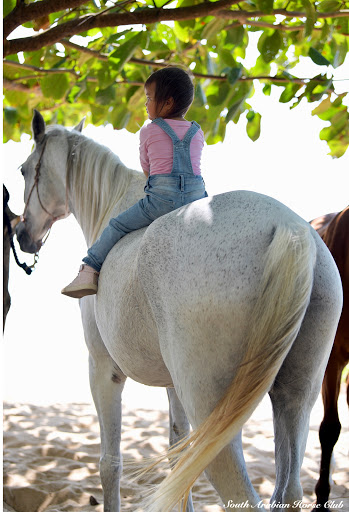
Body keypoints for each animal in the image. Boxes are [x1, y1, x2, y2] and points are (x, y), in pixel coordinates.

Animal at [15, 112, 340, 512]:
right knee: (288, 490)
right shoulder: (173, 386)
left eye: (24, 170)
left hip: (213, 413)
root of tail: (290, 229)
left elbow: (110, 464)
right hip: (296, 400)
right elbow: (177, 458)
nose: (22, 236)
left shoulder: (103, 370)